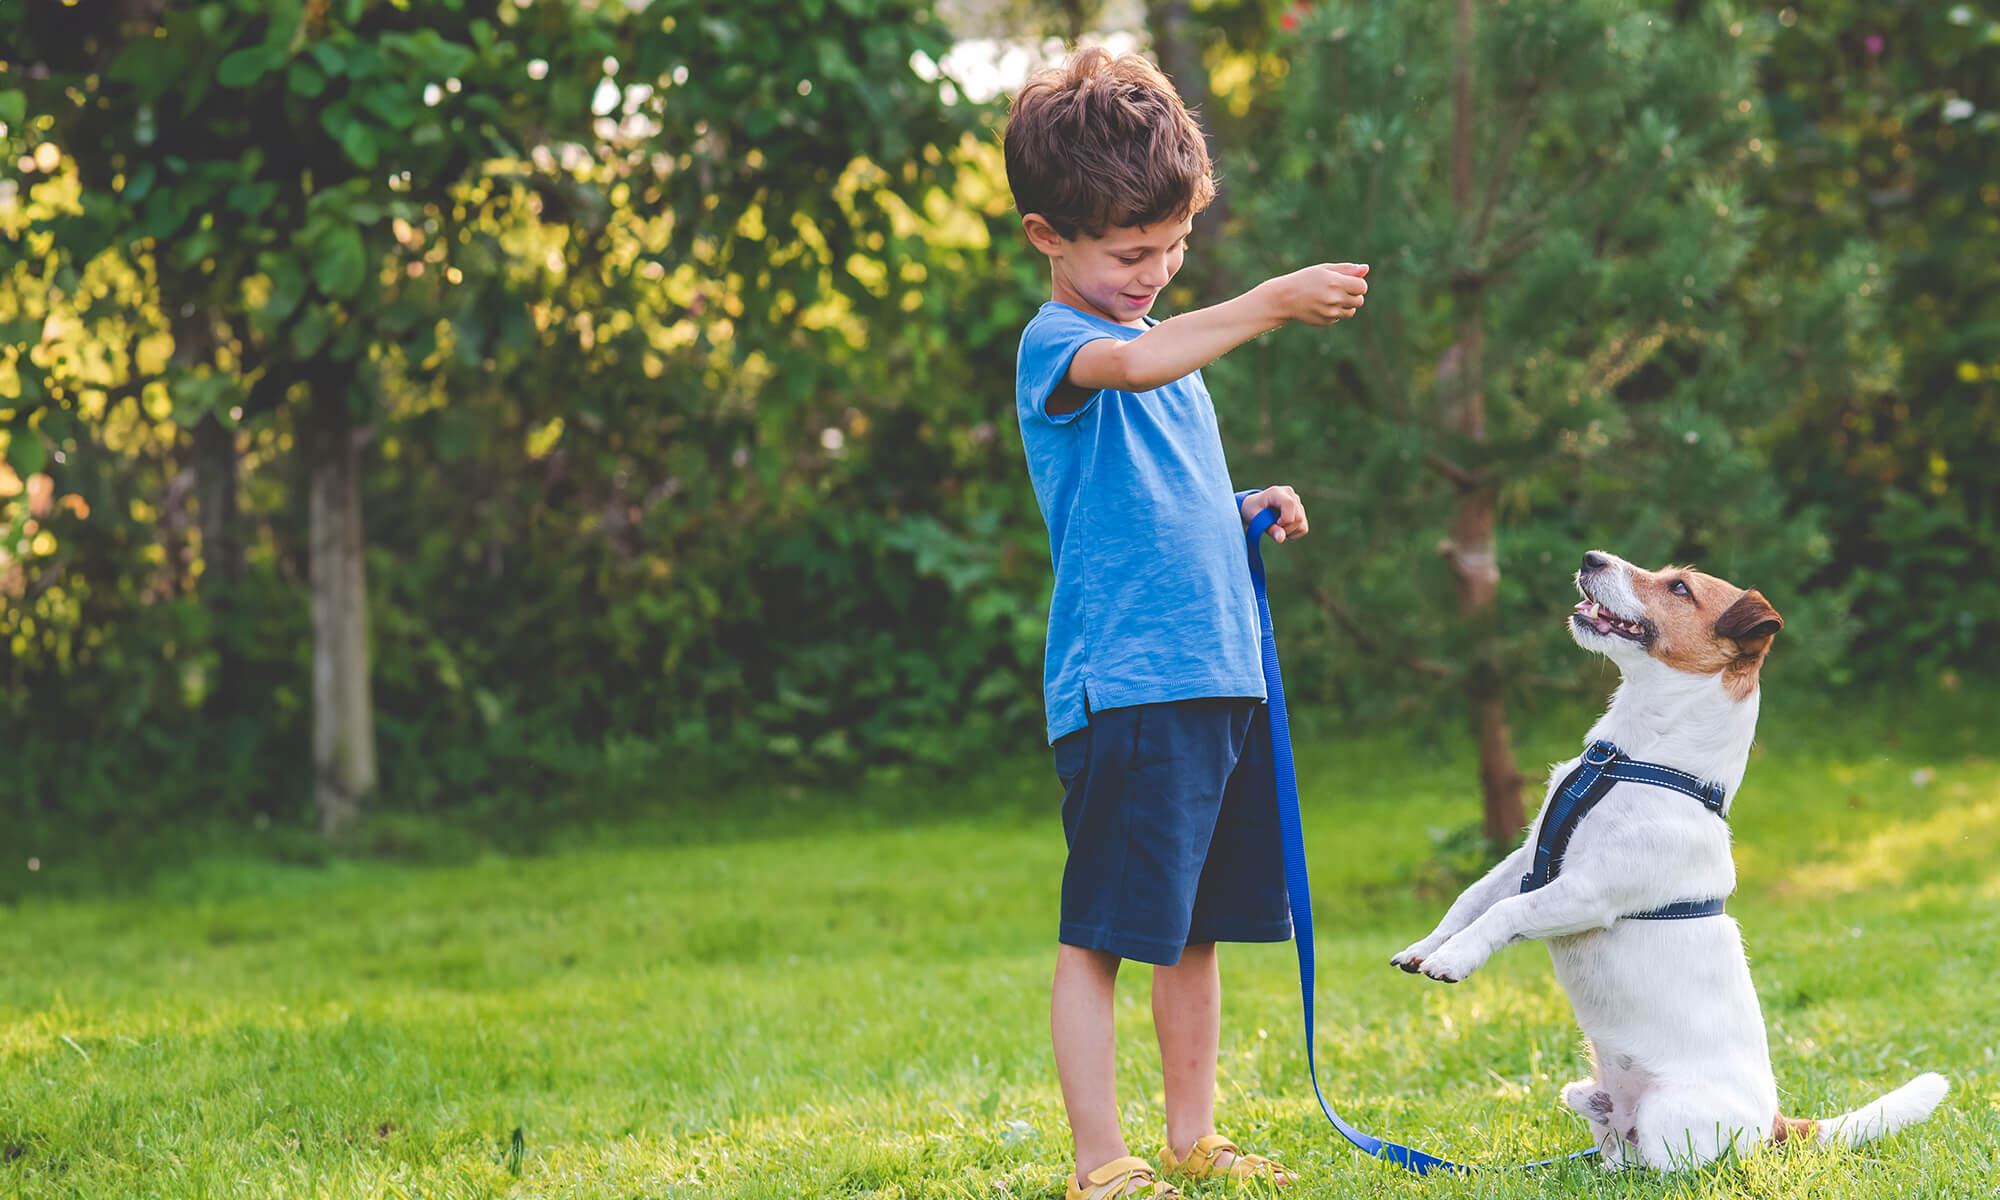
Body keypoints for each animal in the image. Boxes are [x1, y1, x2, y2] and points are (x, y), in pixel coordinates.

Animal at [1384, 552, 1944, 1160]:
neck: (1631, 758)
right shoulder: (1527, 858)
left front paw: (1454, 959)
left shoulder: (1587, 893)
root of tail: (1774, 1124)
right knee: (1607, 1132)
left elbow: (1505, 912)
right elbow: (1470, 900)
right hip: (1592, 1095)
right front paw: (1426, 947)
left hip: (1667, 1117)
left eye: (1679, 588)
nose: (1591, 558)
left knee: (1665, 1162)